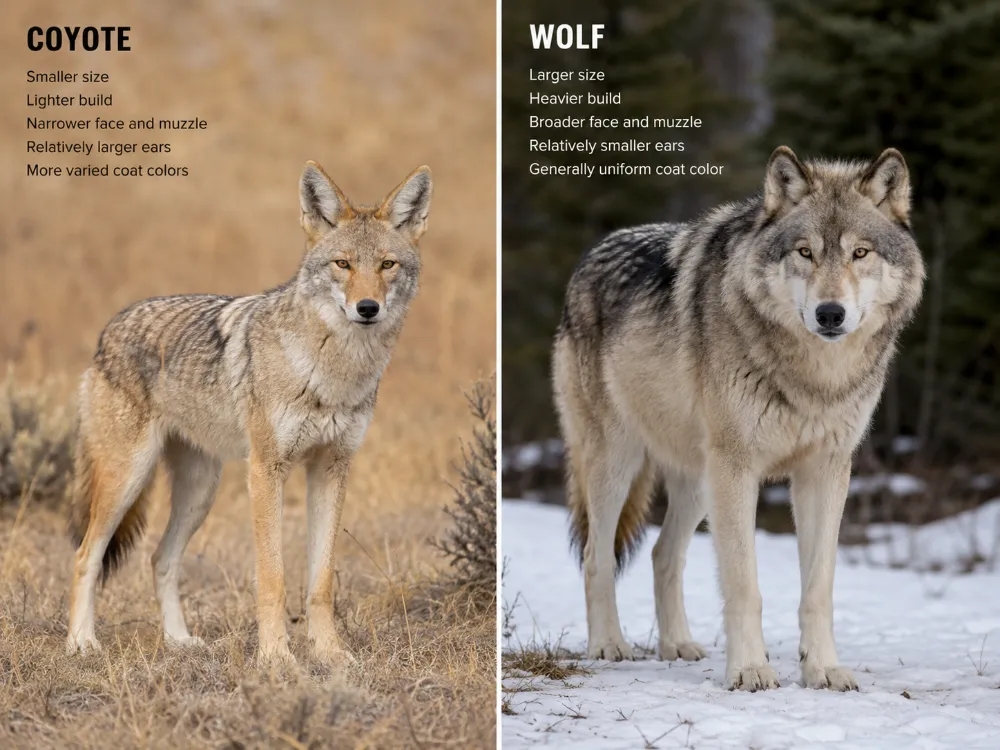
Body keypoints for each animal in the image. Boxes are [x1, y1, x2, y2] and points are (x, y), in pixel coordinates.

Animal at [66, 161, 432, 664]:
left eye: (386, 265)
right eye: (343, 265)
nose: (367, 308)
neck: (333, 373)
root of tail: (109, 329)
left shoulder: (332, 467)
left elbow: (321, 583)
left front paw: (330, 655)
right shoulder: (266, 469)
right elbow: (273, 579)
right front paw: (276, 658)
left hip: (200, 492)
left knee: (161, 558)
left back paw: (179, 641)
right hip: (128, 479)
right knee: (86, 555)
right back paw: (81, 642)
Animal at [553, 147, 923, 691]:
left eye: (860, 253)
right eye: (805, 252)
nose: (830, 314)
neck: (814, 377)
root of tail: (590, 254)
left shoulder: (825, 471)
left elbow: (818, 589)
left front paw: (823, 669)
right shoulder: (738, 468)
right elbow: (745, 585)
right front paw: (750, 670)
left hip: (697, 481)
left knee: (663, 554)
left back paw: (677, 645)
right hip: (619, 463)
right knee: (595, 558)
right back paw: (608, 645)